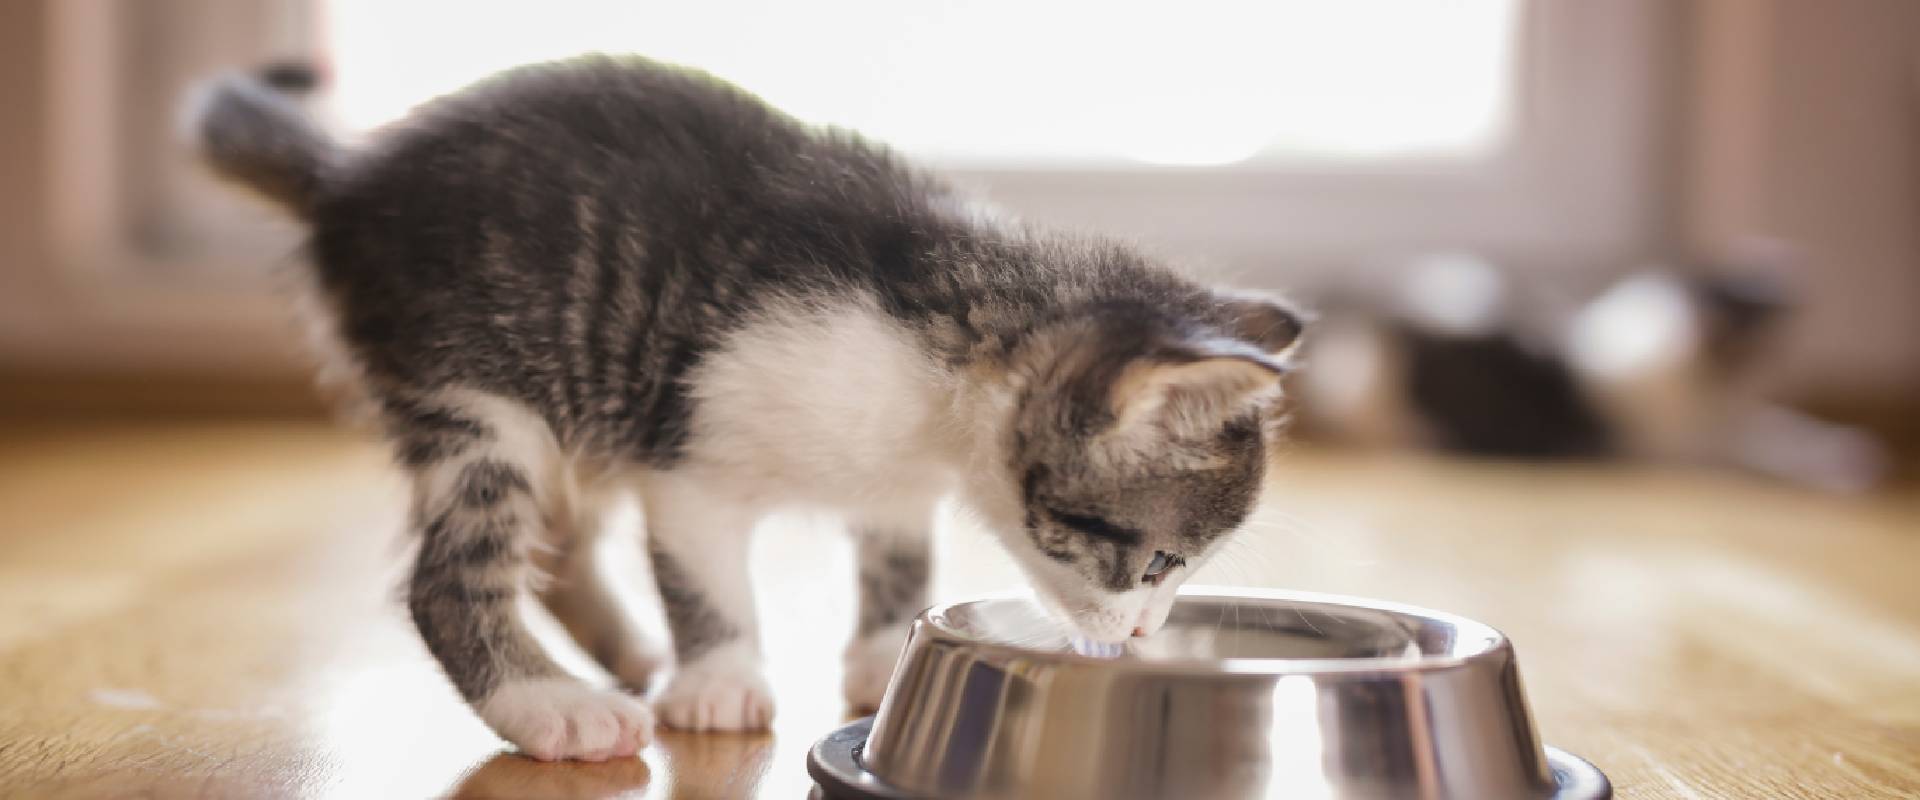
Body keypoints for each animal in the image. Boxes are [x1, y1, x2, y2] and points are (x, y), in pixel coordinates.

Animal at [191, 56, 1305, 759]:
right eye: (1155, 562)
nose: (1143, 633)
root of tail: (353, 176)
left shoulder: (895, 478)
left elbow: (898, 547)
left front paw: (882, 649)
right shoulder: (689, 447)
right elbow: (703, 571)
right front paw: (721, 677)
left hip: (576, 404)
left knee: (558, 533)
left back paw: (622, 651)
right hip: (480, 390)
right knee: (451, 576)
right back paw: (553, 706)